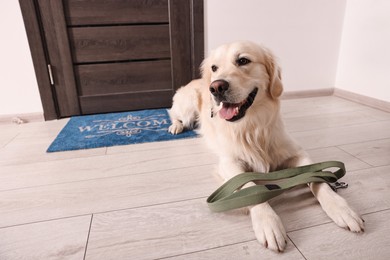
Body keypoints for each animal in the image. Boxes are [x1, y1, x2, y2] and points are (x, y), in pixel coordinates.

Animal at [168, 40, 366, 252]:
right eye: (214, 68)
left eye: (243, 60)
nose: (216, 87)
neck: (252, 127)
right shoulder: (229, 162)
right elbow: (250, 186)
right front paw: (268, 223)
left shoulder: (297, 153)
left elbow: (317, 178)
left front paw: (342, 208)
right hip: (187, 107)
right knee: (174, 114)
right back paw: (175, 126)